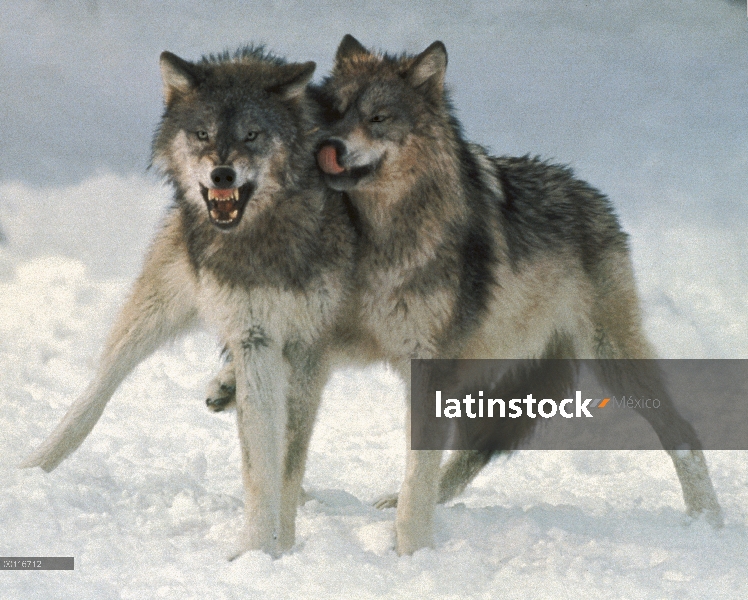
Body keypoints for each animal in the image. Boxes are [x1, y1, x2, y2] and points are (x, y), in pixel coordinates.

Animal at [17, 45, 356, 556]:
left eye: (252, 134)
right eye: (202, 134)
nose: (222, 172)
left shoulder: (307, 344)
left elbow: (283, 462)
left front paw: (272, 549)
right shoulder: (257, 334)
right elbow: (262, 463)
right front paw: (257, 551)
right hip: (158, 307)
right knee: (98, 387)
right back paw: (29, 471)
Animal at [310, 36, 720, 552]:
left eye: (378, 118)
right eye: (331, 113)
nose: (329, 146)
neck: (379, 236)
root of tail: (588, 190)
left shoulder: (427, 364)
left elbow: (418, 471)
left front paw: (411, 552)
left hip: (609, 360)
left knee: (683, 435)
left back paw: (709, 520)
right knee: (472, 450)